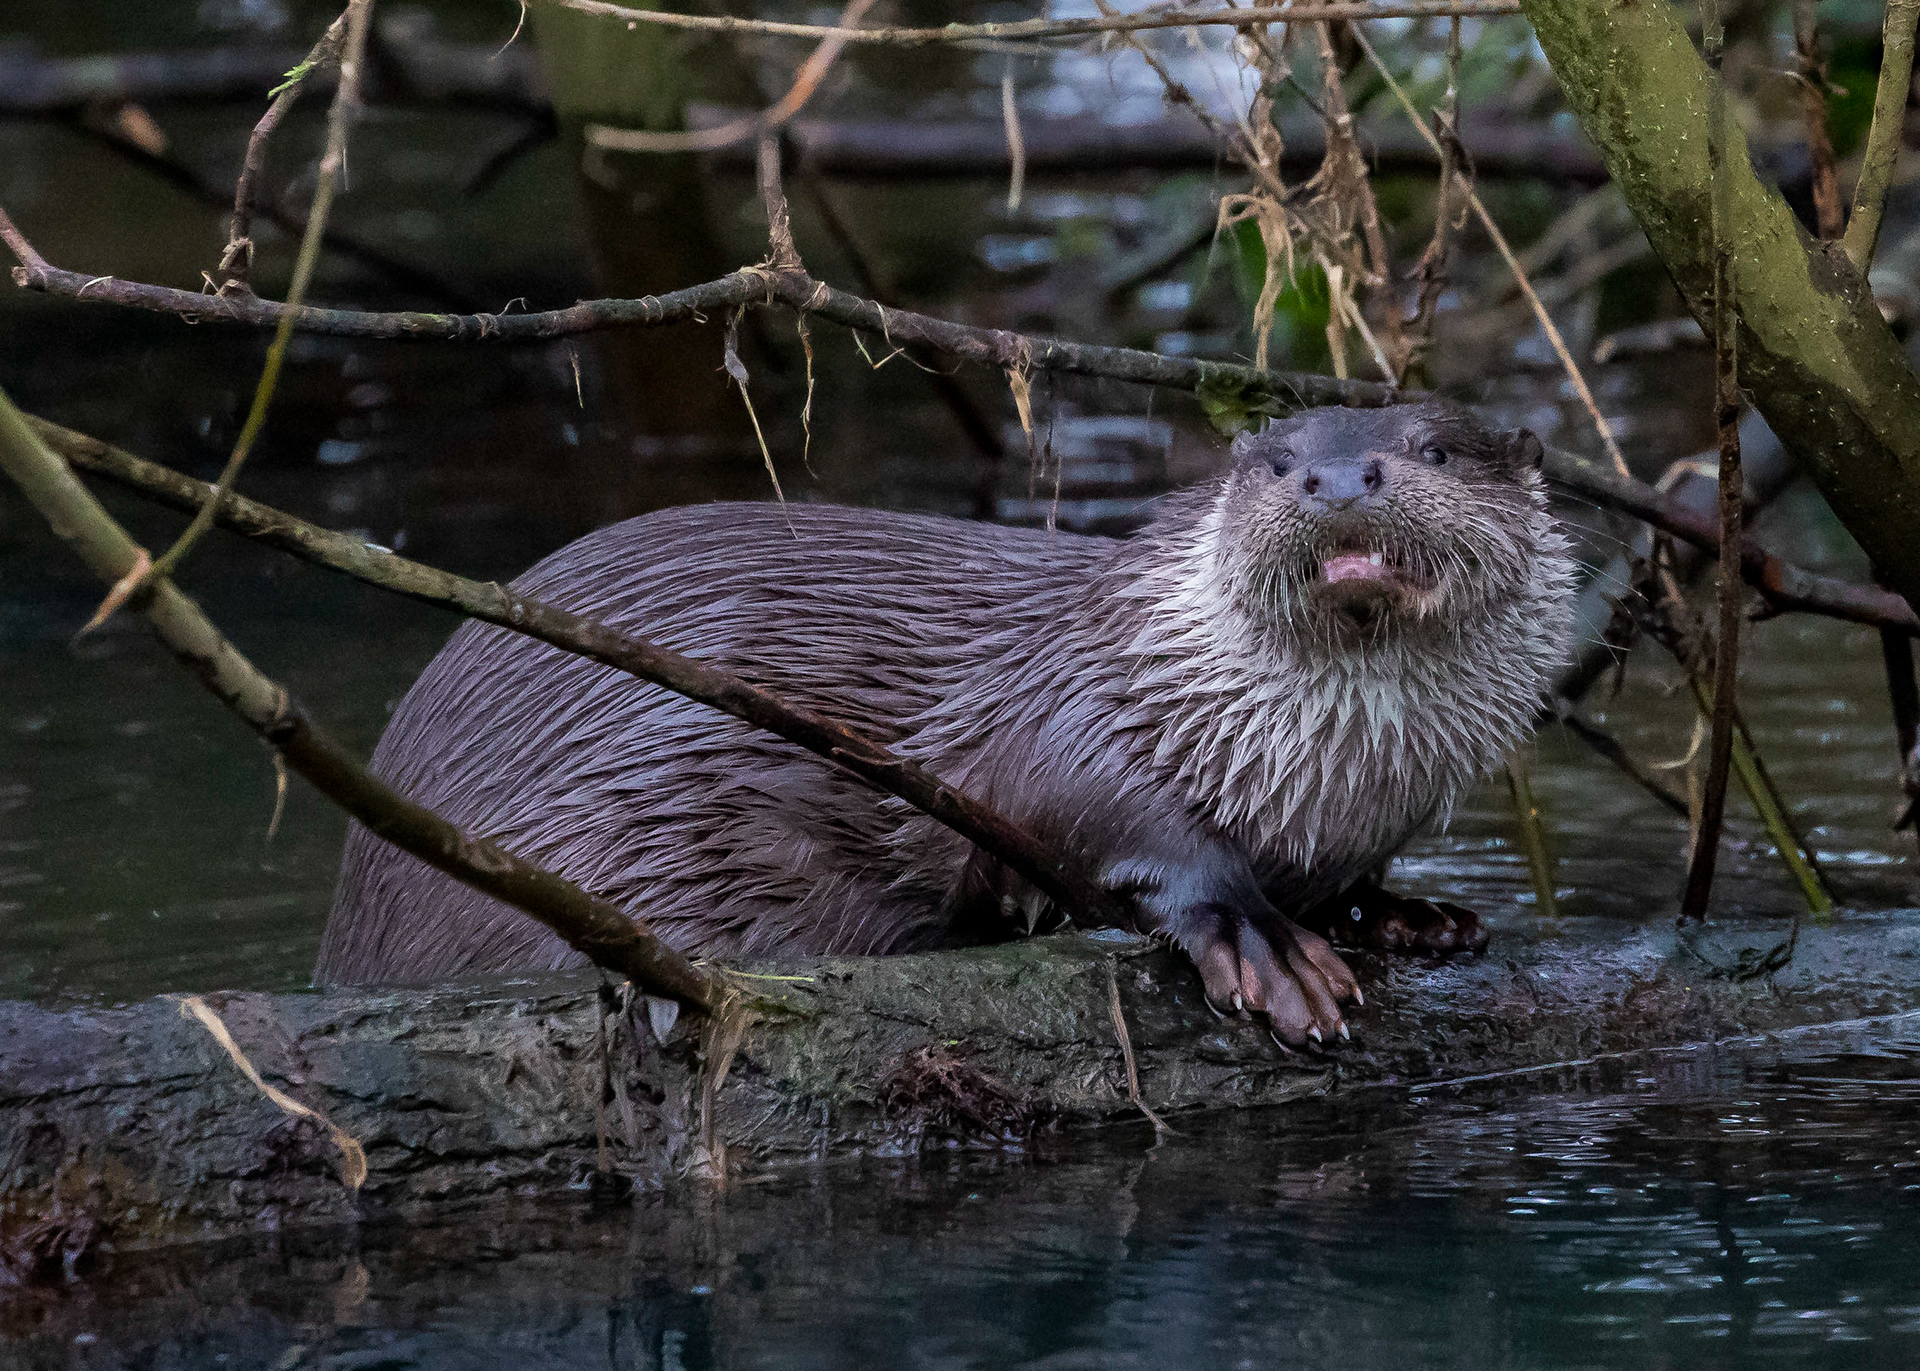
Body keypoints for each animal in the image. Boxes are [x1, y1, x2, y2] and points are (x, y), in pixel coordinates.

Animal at [318, 400, 1575, 1045]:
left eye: (1434, 448)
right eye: (1275, 462)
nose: (1338, 480)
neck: (1333, 771)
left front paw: (1403, 913)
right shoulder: (1074, 707)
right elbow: (1098, 817)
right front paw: (1261, 941)